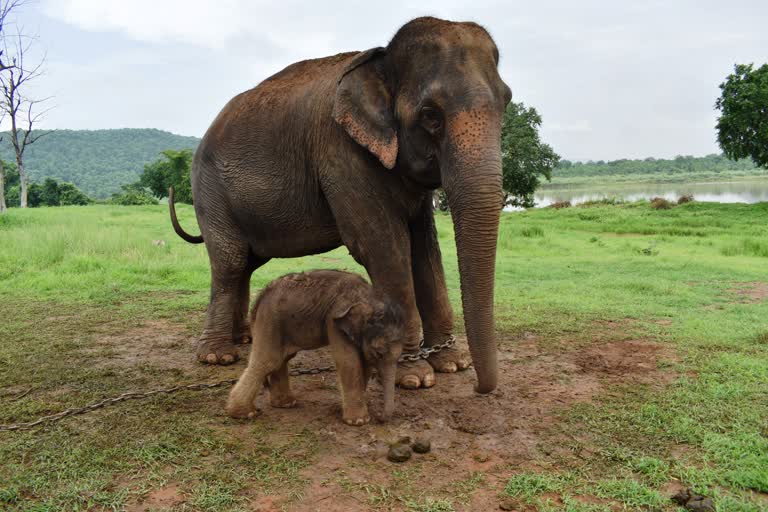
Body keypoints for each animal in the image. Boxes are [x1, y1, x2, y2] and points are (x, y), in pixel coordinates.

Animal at [171, 16, 512, 392]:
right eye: (430, 115)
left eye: (507, 103)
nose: (480, 387)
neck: (381, 59)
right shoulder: (341, 153)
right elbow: (384, 248)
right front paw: (413, 376)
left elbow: (424, 250)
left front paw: (451, 363)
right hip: (209, 191)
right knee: (230, 263)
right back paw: (218, 356)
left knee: (247, 263)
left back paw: (244, 339)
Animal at [226, 270, 404, 426]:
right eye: (379, 353)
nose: (380, 417)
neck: (368, 297)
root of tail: (260, 297)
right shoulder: (334, 320)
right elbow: (349, 361)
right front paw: (359, 422)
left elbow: (364, 363)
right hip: (270, 321)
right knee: (268, 361)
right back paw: (245, 414)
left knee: (281, 360)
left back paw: (286, 404)